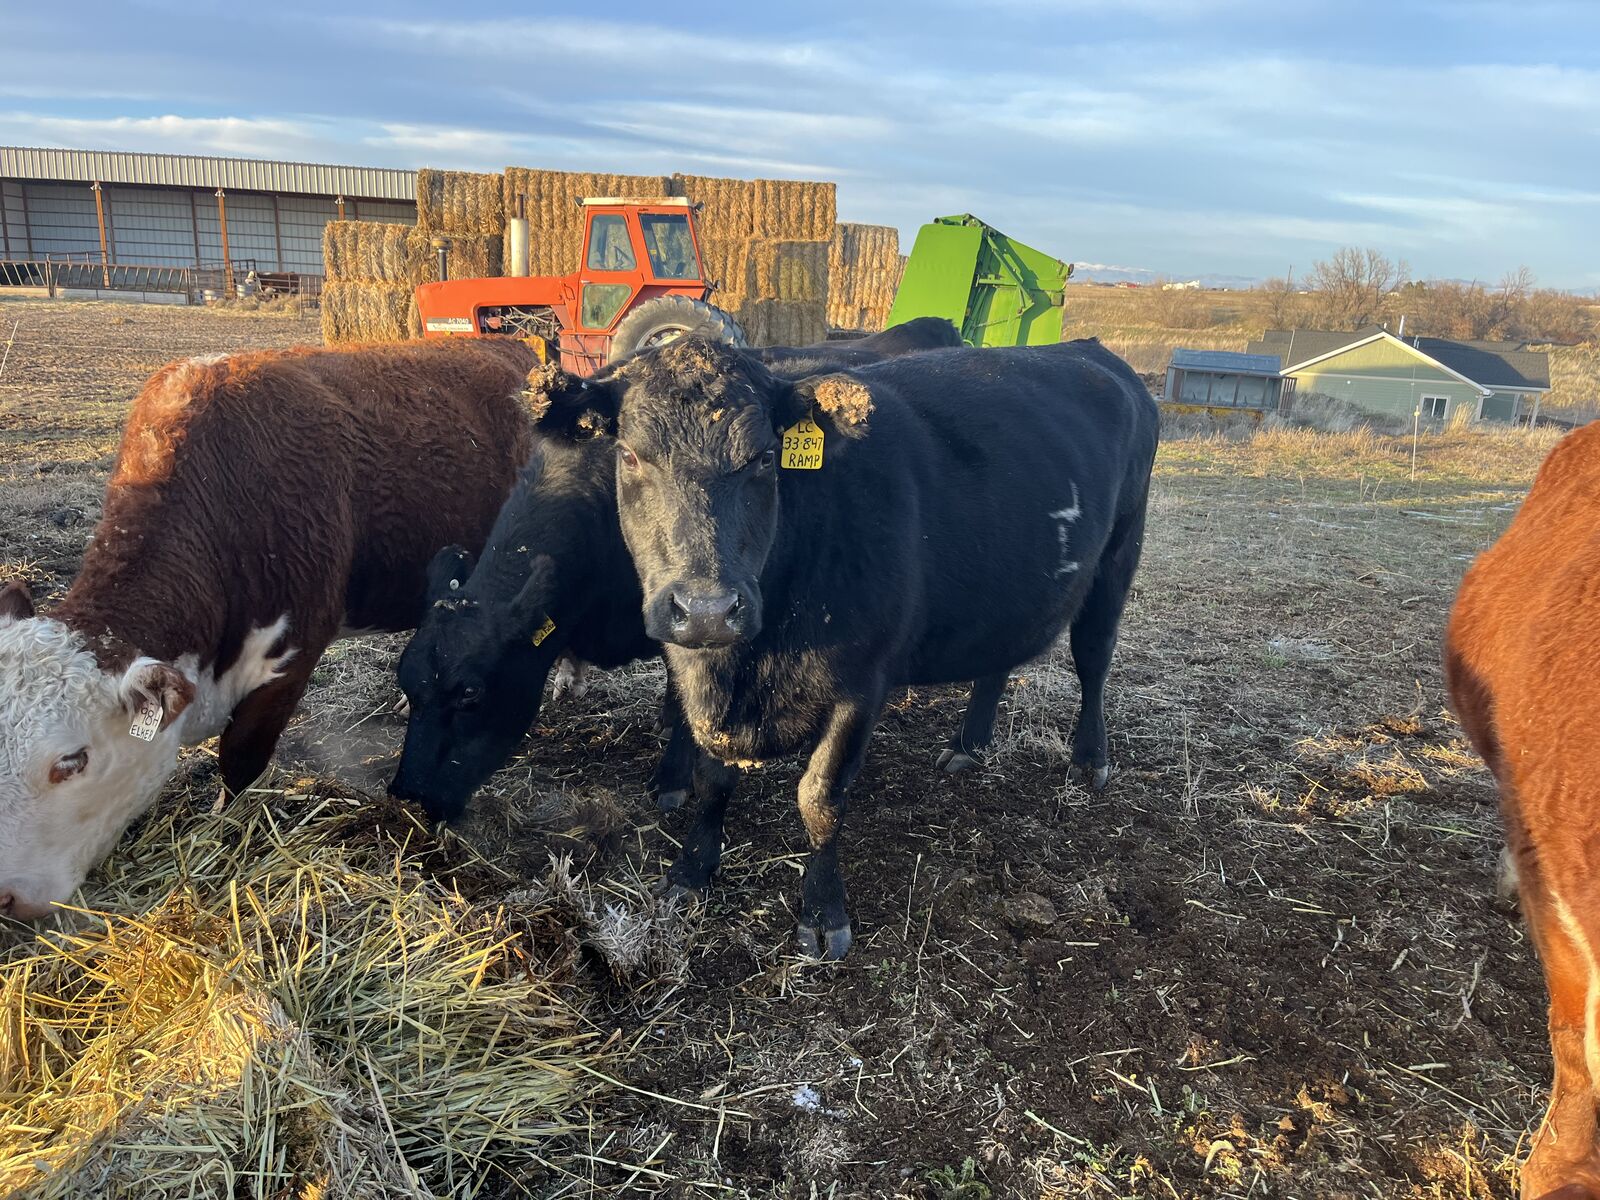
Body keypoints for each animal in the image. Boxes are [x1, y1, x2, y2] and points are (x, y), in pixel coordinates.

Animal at [525, 335, 1159, 959]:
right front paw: (691, 871)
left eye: (764, 458)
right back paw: (969, 744)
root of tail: (1090, 350)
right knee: (996, 661)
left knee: (1094, 658)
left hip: (1117, 559)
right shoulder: (702, 682)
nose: (706, 608)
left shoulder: (861, 685)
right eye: (630, 456)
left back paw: (1090, 757)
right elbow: (711, 779)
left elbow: (821, 798)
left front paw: (823, 912)